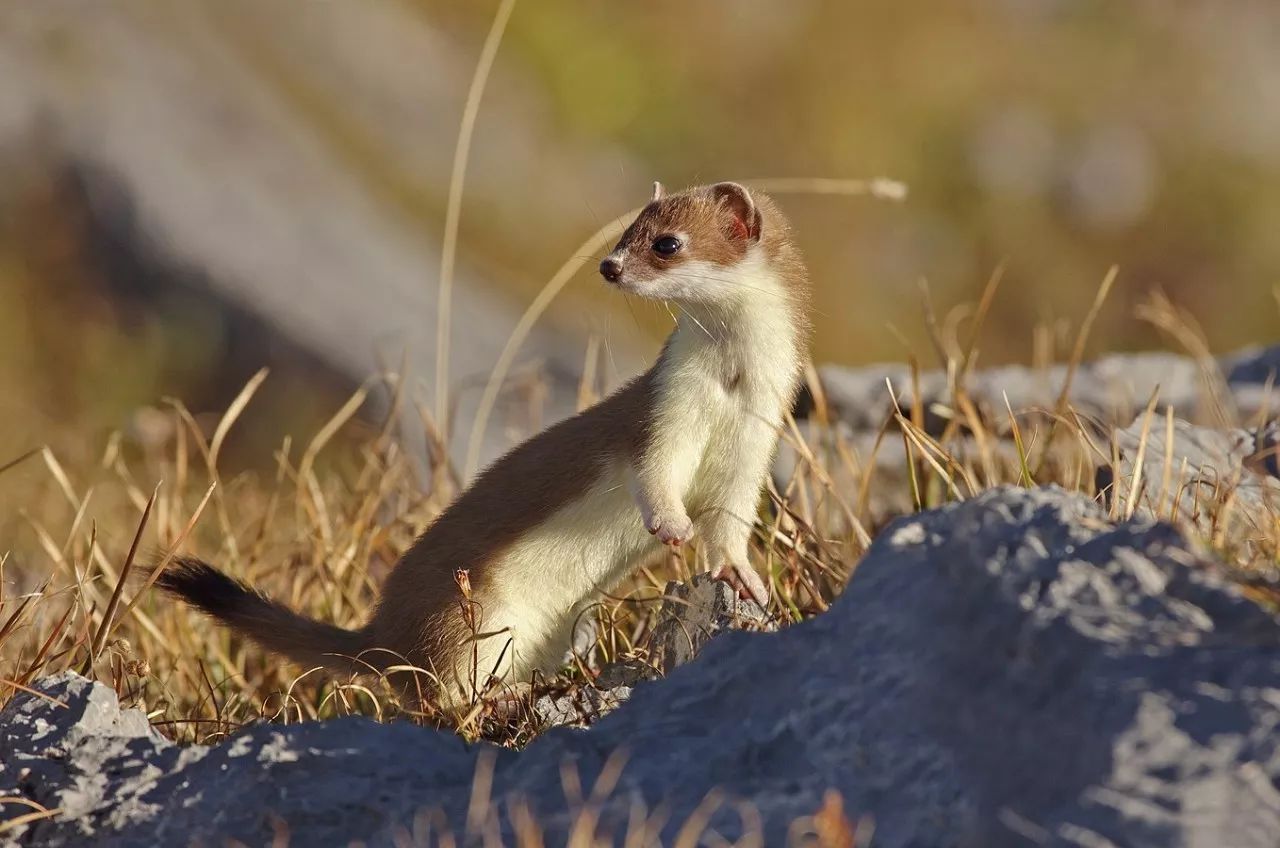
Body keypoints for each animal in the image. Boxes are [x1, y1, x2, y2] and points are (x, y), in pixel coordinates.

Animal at [157, 183, 808, 707]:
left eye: (667, 242)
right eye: (626, 229)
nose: (609, 266)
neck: (729, 389)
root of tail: (384, 634)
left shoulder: (757, 439)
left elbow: (731, 518)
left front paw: (744, 578)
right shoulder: (664, 413)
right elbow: (655, 471)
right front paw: (673, 525)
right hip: (470, 617)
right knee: (441, 692)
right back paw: (502, 695)